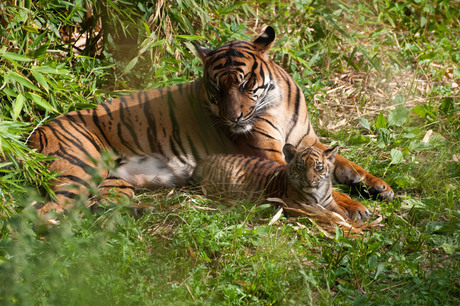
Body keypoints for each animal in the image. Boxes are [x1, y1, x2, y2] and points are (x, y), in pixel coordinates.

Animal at [29, 26, 396, 216]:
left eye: (246, 84)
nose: (233, 118)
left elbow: (345, 165)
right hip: (79, 170)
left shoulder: (309, 142)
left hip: (113, 185)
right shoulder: (272, 157)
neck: (275, 104)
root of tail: (33, 135)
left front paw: (380, 186)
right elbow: (322, 186)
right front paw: (354, 207)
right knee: (47, 213)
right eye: (216, 89)